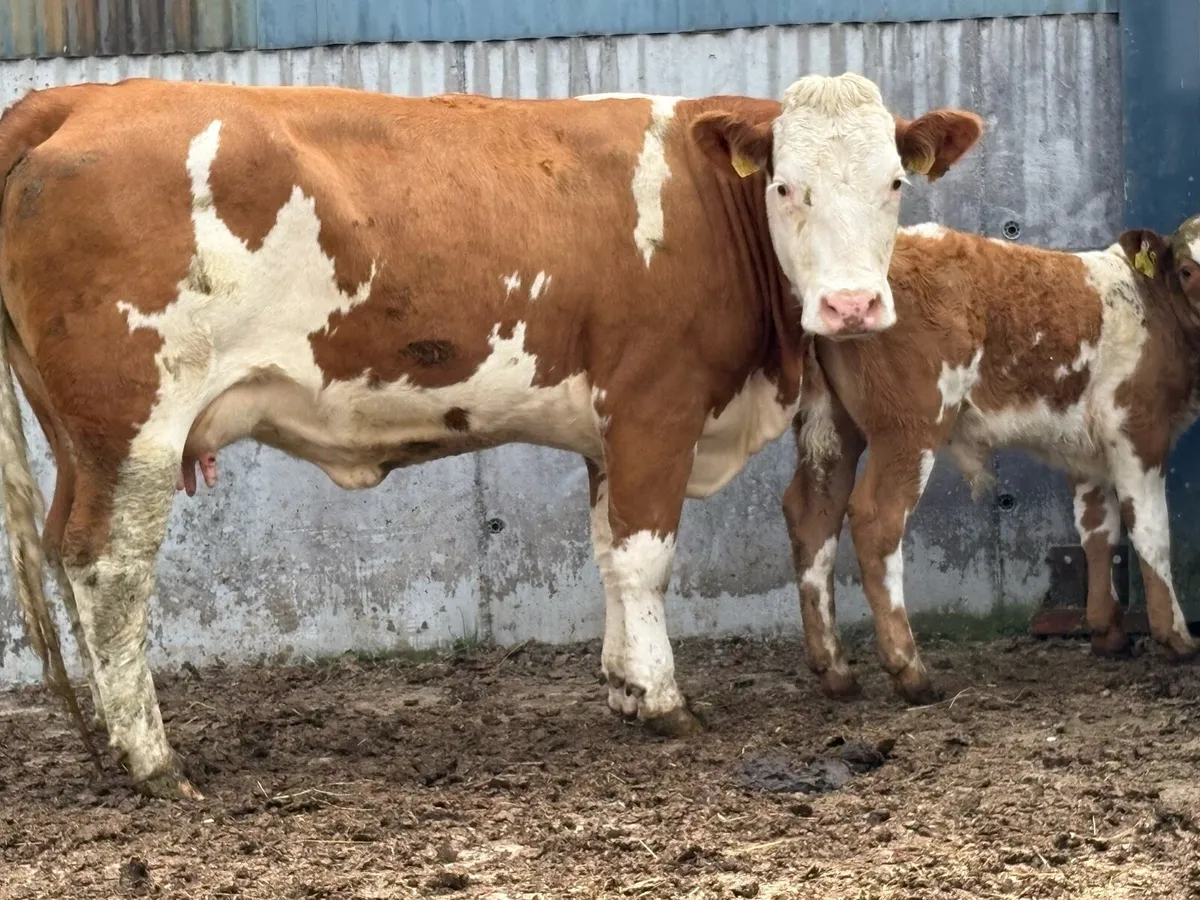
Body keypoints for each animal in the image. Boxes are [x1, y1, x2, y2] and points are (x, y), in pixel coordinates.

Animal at [0, 75, 983, 798]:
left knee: (64, 550)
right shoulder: (655, 406)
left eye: (894, 185)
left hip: (78, 434)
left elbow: (607, 553)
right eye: (786, 187)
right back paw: (154, 762)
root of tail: (76, 98)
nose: (851, 307)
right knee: (108, 568)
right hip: (133, 421)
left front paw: (627, 688)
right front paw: (667, 702)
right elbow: (645, 559)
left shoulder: (609, 433)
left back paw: (110, 744)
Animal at [784, 216, 1200, 705]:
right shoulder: (1139, 432)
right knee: (875, 518)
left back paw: (834, 670)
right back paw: (910, 671)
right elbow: (1151, 532)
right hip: (910, 426)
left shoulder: (1086, 451)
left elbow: (1098, 531)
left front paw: (1107, 633)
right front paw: (1176, 638)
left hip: (834, 427)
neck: (1151, 304)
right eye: (1188, 271)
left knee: (813, 515)